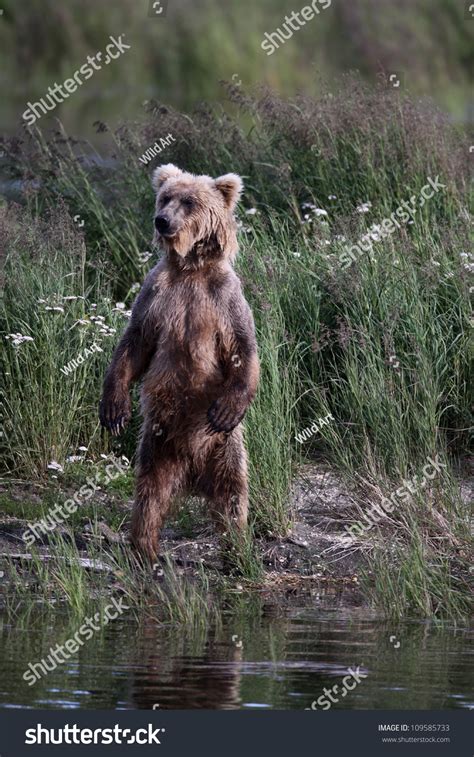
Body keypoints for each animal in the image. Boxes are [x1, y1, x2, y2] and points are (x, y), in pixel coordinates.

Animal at [97, 167, 260, 568]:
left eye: (189, 201)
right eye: (165, 197)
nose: (162, 220)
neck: (190, 266)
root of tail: (192, 470)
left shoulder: (223, 298)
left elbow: (243, 347)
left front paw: (229, 406)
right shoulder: (157, 293)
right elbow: (134, 343)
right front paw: (113, 408)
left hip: (224, 446)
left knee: (233, 492)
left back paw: (237, 552)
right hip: (158, 441)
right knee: (150, 490)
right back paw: (144, 547)